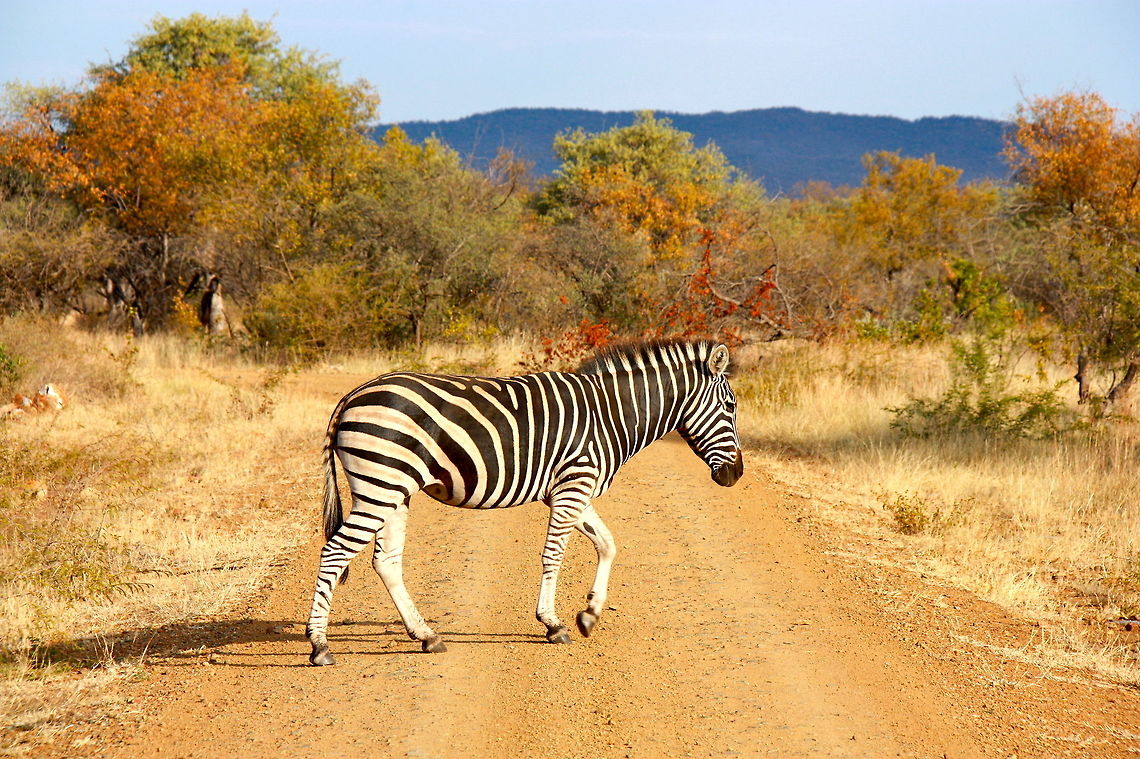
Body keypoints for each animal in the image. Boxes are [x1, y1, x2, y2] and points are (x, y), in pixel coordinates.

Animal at [306, 338, 744, 665]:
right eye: (731, 406)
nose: (736, 475)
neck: (612, 415)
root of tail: (354, 394)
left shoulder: (574, 490)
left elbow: (607, 544)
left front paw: (589, 614)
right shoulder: (573, 485)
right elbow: (554, 555)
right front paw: (553, 623)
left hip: (392, 490)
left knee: (386, 561)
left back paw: (426, 635)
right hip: (381, 484)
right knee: (335, 552)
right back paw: (319, 646)